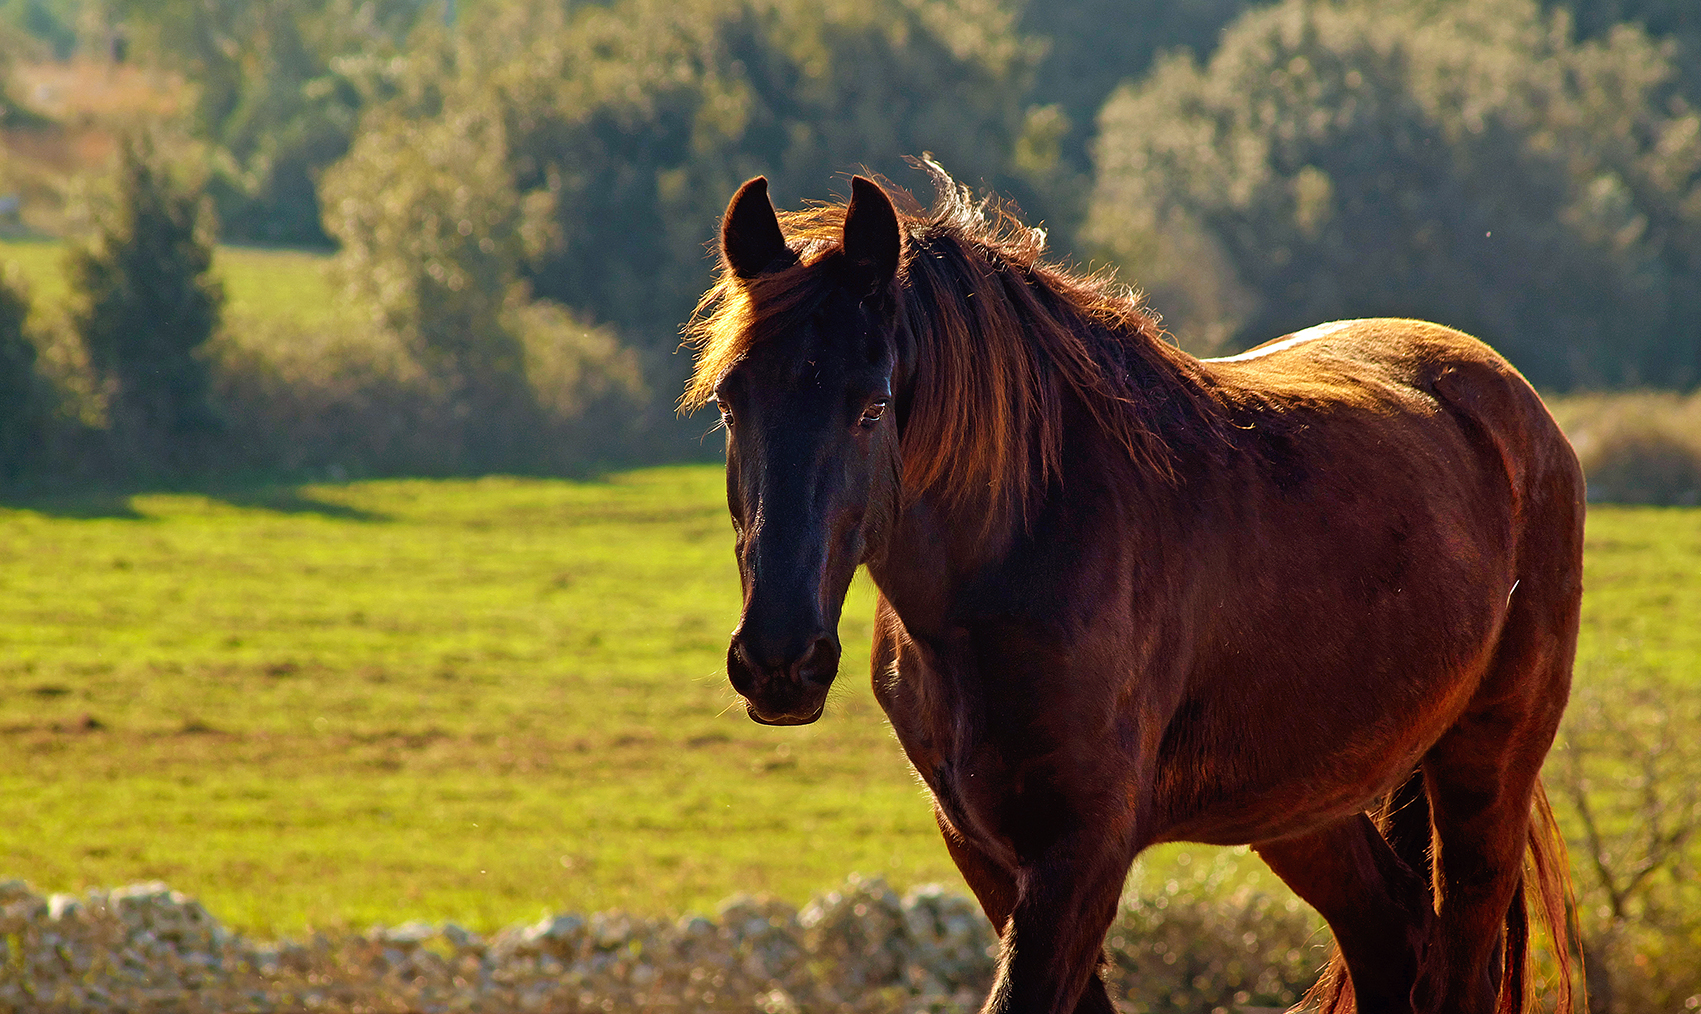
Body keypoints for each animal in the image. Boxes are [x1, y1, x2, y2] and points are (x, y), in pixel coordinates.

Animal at [683, 161, 1582, 1014]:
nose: (778, 662)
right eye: (729, 403)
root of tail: (1511, 404)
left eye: (871, 407)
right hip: (1307, 806)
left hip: (1484, 775)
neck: (1023, 549)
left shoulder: (1081, 850)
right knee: (1393, 944)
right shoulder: (983, 849)